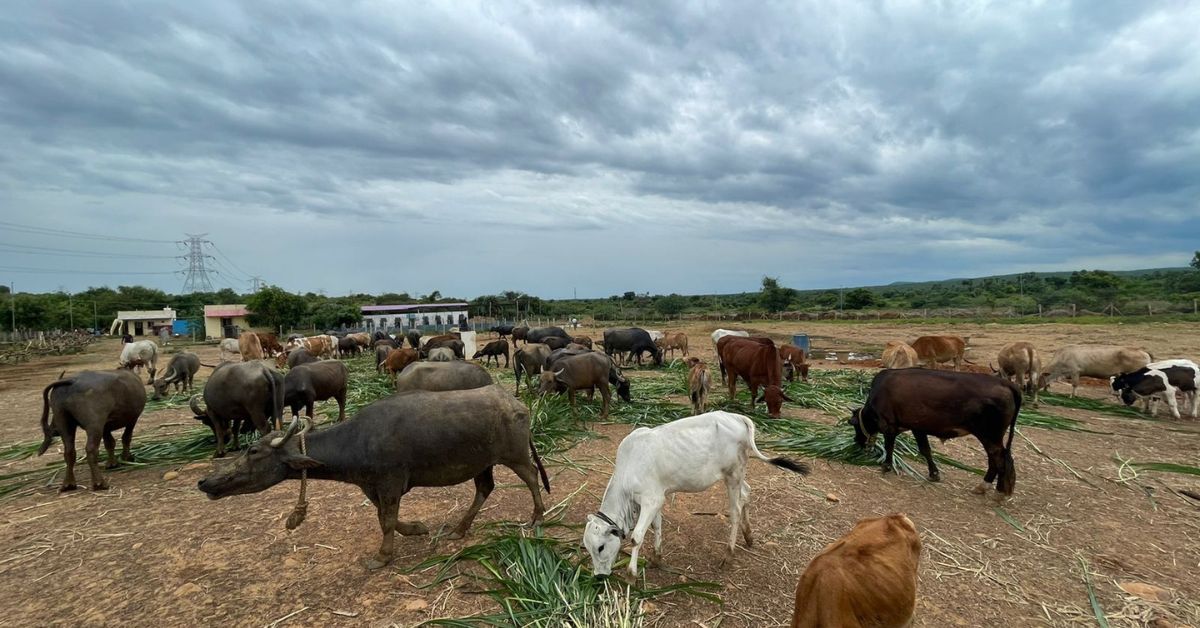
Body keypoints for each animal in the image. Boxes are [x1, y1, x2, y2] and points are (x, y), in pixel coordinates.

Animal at [198, 389, 552, 569]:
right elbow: (385, 517)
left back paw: (536, 517)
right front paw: (416, 528)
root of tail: (517, 403)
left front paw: (382, 556)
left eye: (254, 451)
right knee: (484, 488)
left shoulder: (390, 483)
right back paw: (459, 529)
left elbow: (387, 519)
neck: (357, 441)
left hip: (515, 455)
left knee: (532, 477)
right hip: (482, 463)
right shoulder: (372, 486)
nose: (206, 483)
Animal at [585, 410, 811, 578]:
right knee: (747, 493)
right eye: (588, 548)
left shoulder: (651, 500)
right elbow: (657, 527)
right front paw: (657, 558)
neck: (628, 468)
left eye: (601, 548)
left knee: (735, 510)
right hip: (735, 476)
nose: (599, 576)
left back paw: (728, 554)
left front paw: (632, 574)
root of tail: (738, 417)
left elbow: (637, 537)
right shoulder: (655, 499)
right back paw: (748, 536)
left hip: (733, 474)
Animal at [849, 369, 1017, 497]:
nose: (856, 441)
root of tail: (1005, 382)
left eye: (854, 425)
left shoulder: (888, 425)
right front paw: (934, 474)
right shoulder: (917, 427)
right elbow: (925, 450)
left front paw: (886, 466)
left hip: (990, 436)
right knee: (999, 458)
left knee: (999, 458)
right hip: (992, 437)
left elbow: (889, 447)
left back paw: (994, 489)